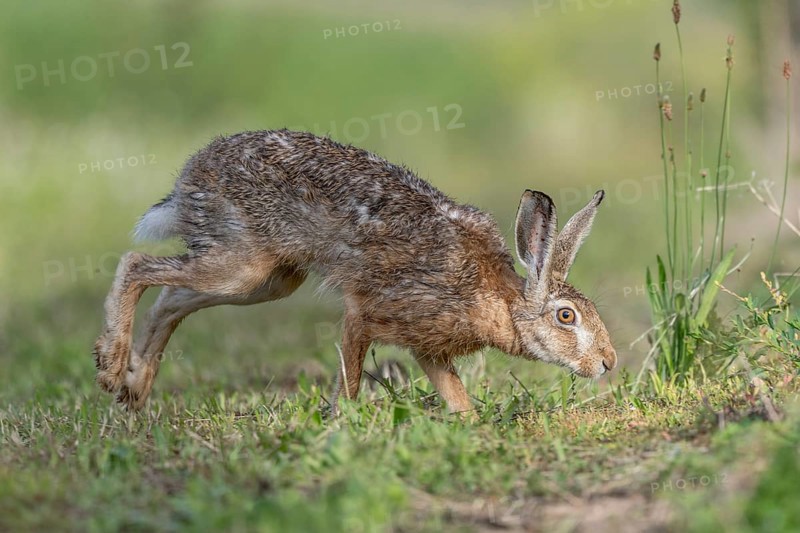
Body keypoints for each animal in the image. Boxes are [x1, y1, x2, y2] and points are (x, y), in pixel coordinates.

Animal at [93, 129, 616, 413]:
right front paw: (340, 422)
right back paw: (111, 367)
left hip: (266, 280)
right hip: (240, 264)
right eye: (566, 316)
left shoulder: (428, 345)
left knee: (171, 299)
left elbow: (455, 394)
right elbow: (350, 372)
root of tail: (189, 177)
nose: (608, 363)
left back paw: (135, 390)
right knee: (137, 265)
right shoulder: (368, 315)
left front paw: (470, 425)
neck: (501, 302)